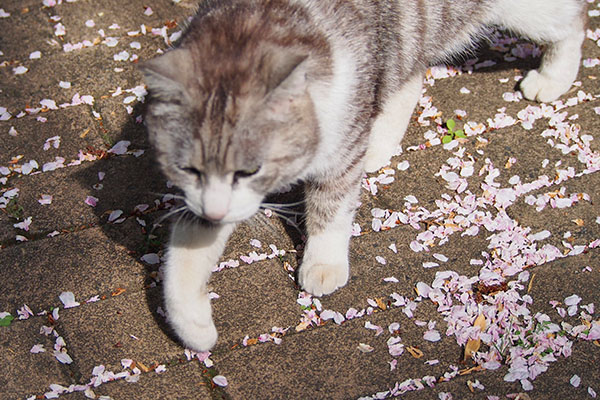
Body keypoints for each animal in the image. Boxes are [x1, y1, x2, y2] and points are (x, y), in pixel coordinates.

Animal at [142, 0, 584, 350]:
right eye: (188, 168)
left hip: (525, 11)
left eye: (250, 169)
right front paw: (193, 326)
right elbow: (184, 256)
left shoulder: (340, 144)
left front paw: (323, 262)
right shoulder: (200, 199)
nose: (216, 213)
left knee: (573, 21)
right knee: (411, 71)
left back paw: (553, 78)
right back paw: (381, 139)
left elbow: (331, 208)